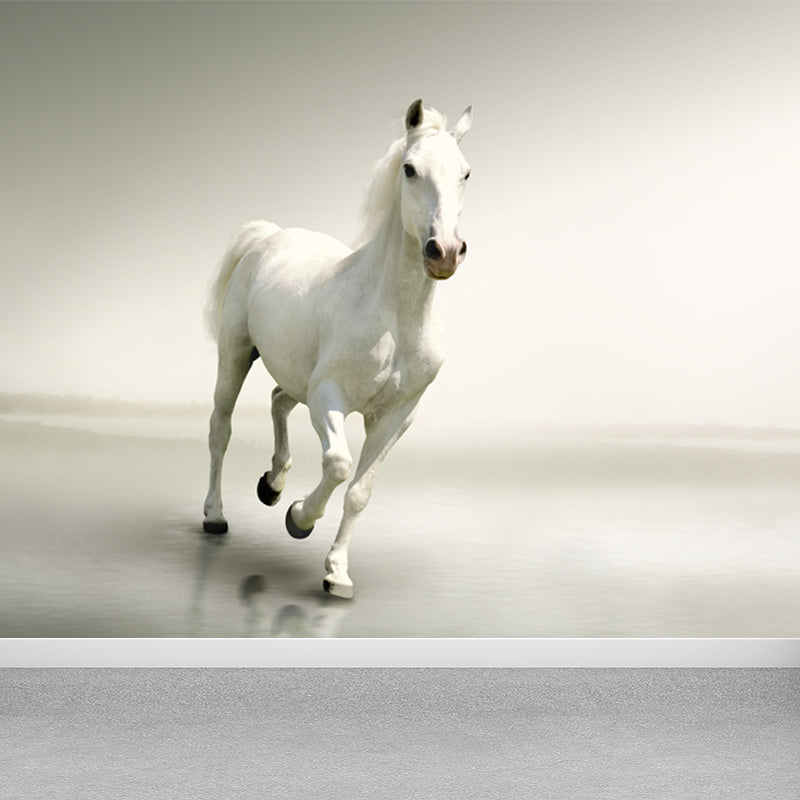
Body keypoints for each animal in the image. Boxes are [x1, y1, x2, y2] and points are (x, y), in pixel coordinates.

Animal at [202, 99, 473, 598]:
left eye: (465, 172)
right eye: (409, 168)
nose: (444, 251)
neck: (395, 318)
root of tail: (269, 236)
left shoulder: (396, 417)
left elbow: (360, 492)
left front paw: (337, 574)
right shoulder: (329, 398)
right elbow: (339, 464)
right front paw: (298, 519)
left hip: (296, 376)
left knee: (278, 399)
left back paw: (272, 484)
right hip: (235, 355)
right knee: (220, 428)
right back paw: (215, 515)